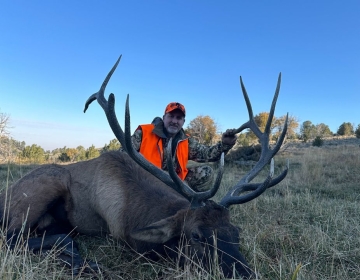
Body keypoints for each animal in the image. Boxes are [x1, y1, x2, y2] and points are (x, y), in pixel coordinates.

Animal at [0, 55, 286, 278]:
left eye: (235, 233)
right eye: (196, 236)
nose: (246, 274)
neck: (133, 210)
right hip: (45, 185)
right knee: (13, 238)